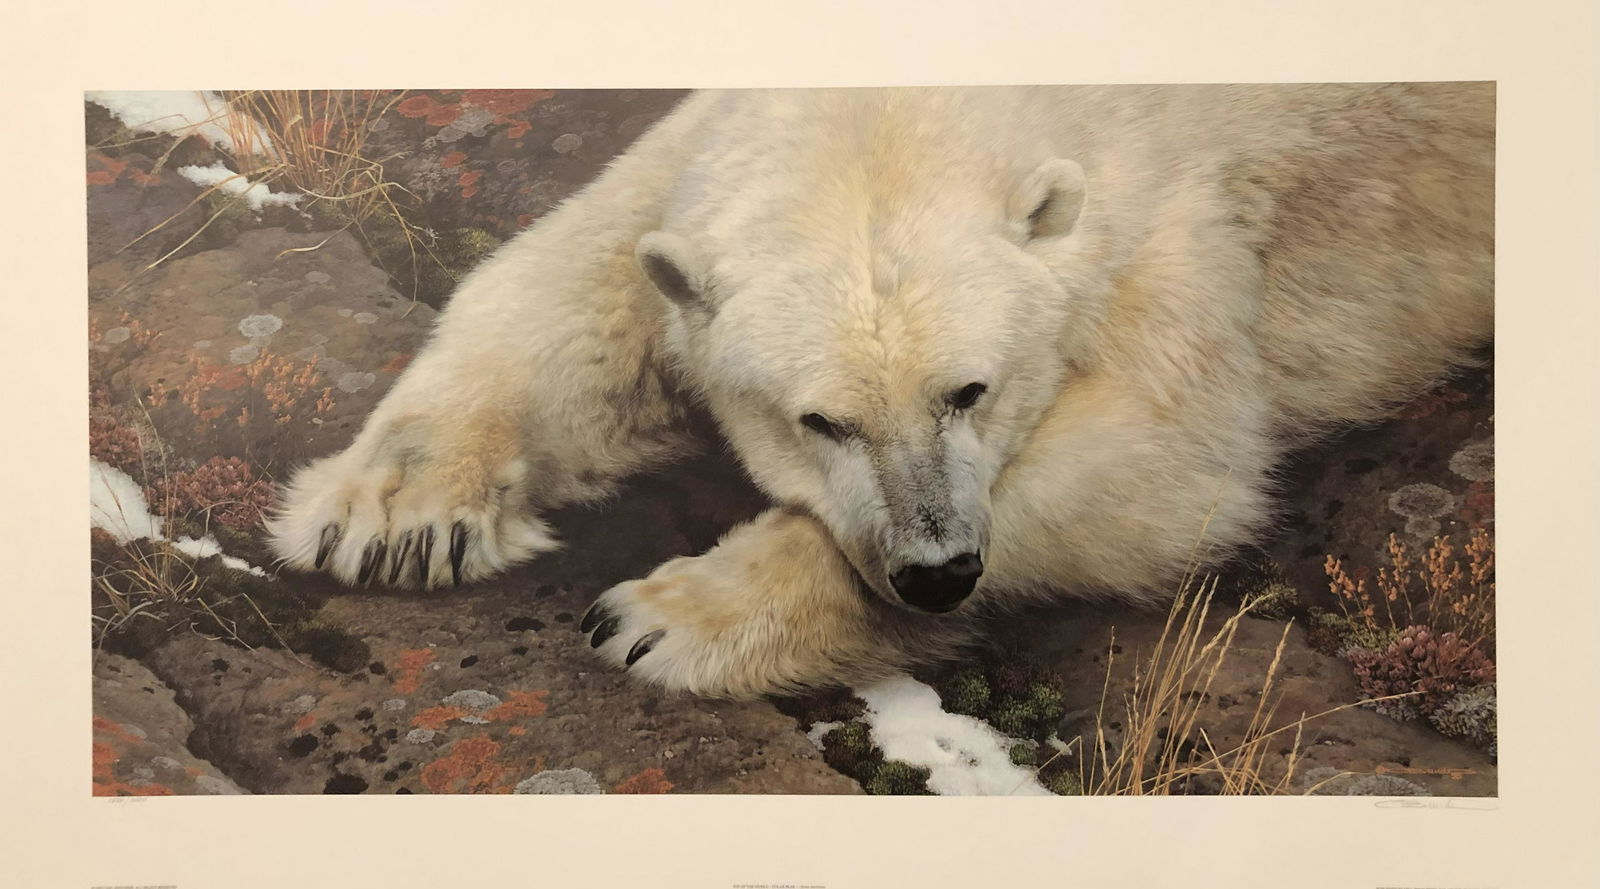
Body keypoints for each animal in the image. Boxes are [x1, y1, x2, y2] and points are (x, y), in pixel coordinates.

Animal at [267, 84, 1494, 698]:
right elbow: (585, 270)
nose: (937, 571)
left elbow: (1163, 462)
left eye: (970, 390)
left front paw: (662, 619)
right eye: (822, 420)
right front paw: (394, 518)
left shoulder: (1179, 228)